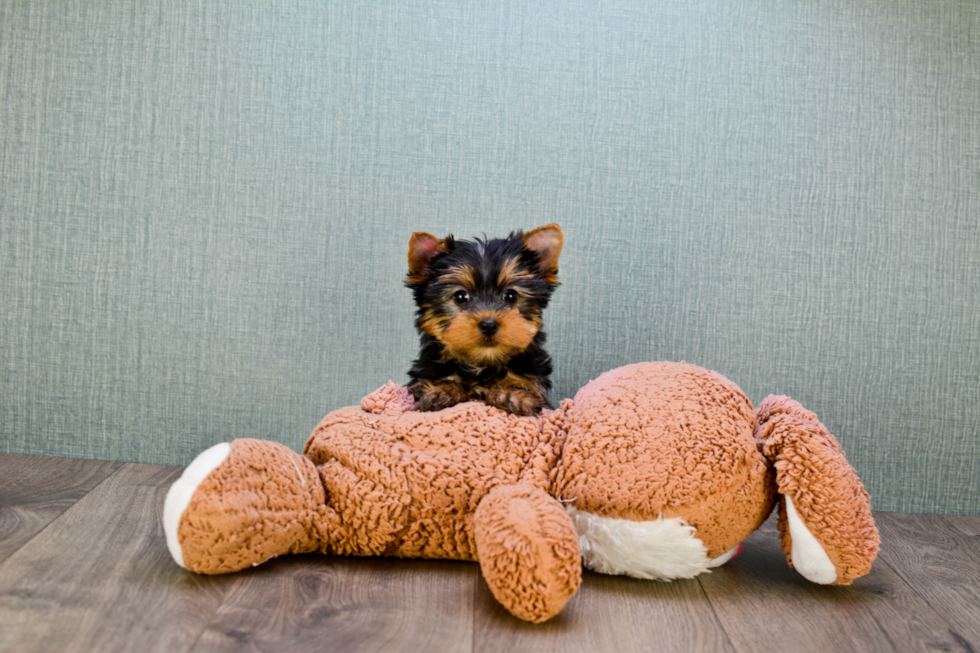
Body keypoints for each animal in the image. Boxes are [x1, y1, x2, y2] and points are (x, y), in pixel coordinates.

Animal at [402, 224, 564, 416]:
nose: (488, 325)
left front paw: (510, 395)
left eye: (510, 295)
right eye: (460, 296)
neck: (482, 365)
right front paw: (441, 391)